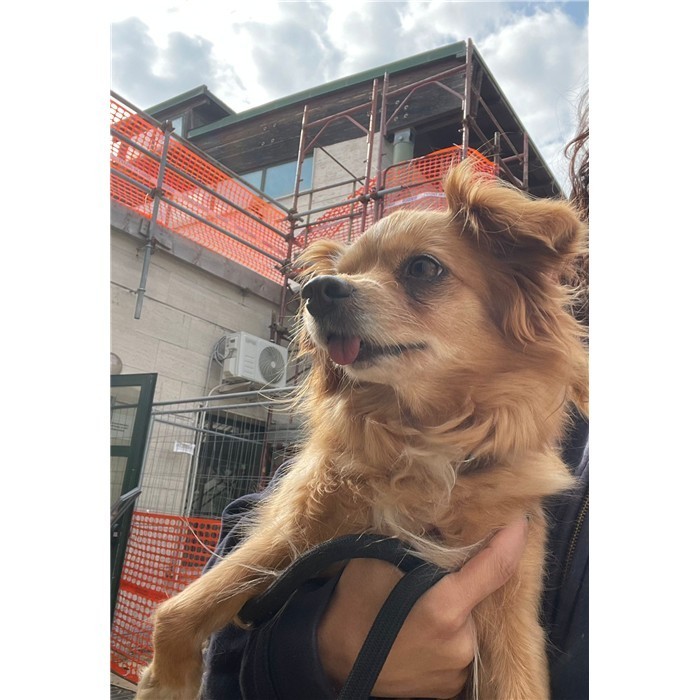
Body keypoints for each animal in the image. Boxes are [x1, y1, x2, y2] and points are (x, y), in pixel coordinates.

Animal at [135, 160, 588, 699]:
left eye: (423, 268)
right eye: (344, 272)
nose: (316, 290)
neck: (421, 437)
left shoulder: (509, 607)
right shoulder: (293, 534)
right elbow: (180, 609)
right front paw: (165, 683)